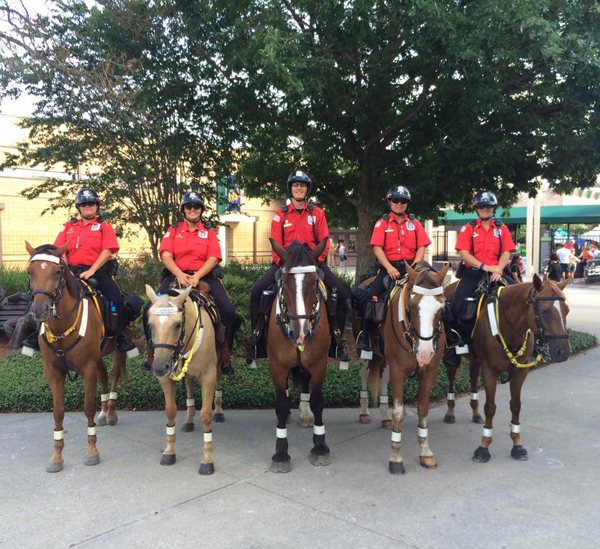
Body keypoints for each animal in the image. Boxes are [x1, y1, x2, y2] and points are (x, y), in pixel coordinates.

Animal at [25, 243, 132, 470]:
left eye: (57, 272)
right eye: (30, 271)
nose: (40, 310)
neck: (62, 327)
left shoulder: (87, 368)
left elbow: (88, 408)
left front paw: (92, 451)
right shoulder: (53, 372)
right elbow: (58, 411)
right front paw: (57, 456)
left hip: (119, 349)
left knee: (114, 375)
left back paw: (110, 412)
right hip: (98, 356)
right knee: (104, 375)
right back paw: (104, 412)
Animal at [145, 284, 220, 474]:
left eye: (178, 324)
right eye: (150, 325)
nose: (159, 367)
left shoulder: (208, 375)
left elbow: (206, 415)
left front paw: (207, 459)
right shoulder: (166, 379)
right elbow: (170, 411)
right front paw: (169, 451)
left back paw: (219, 411)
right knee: (189, 385)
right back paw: (189, 419)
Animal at [268, 238, 332, 474]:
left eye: (314, 282)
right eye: (284, 281)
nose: (300, 332)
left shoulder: (319, 364)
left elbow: (317, 400)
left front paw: (320, 446)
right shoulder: (277, 366)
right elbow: (281, 404)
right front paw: (280, 452)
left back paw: (305, 414)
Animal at [352, 260, 450, 470]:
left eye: (441, 308)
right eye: (412, 306)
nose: (425, 352)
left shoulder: (430, 372)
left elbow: (423, 409)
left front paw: (425, 452)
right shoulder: (398, 370)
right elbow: (399, 412)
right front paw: (396, 457)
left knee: (383, 379)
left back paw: (384, 416)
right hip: (365, 353)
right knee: (364, 375)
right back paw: (364, 412)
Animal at [442, 274, 568, 462]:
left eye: (566, 310)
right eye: (544, 311)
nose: (563, 352)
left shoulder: (521, 372)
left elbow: (516, 405)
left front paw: (517, 444)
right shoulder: (489, 369)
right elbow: (490, 407)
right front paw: (484, 446)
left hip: (476, 358)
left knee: (473, 376)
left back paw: (475, 412)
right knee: (451, 375)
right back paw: (450, 412)